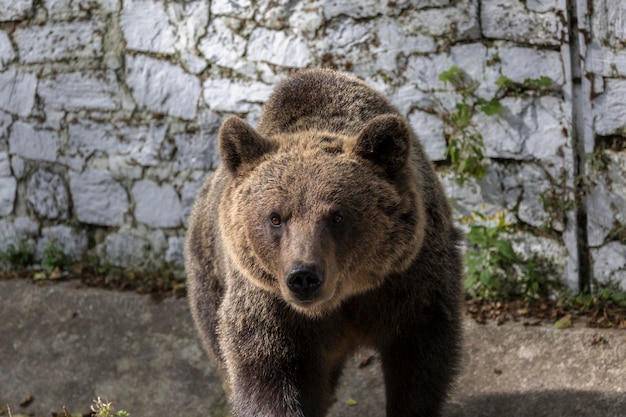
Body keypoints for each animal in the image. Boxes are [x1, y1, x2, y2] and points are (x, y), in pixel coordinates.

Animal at [183, 68, 460, 416]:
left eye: (337, 215)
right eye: (276, 217)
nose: (304, 276)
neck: (342, 299)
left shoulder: (410, 279)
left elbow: (419, 363)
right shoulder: (271, 307)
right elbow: (266, 375)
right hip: (208, 277)